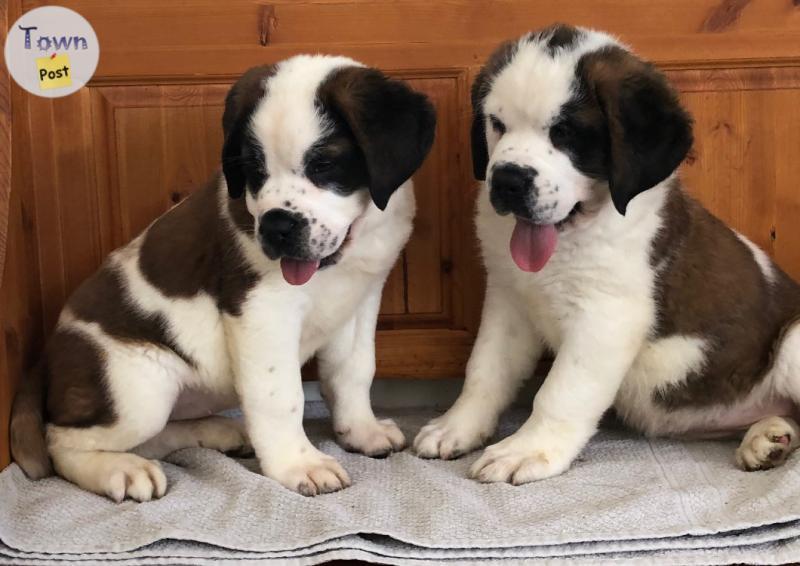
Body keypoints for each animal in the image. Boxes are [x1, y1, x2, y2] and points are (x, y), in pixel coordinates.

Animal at [10, 55, 438, 504]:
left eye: (323, 165)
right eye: (253, 171)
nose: (276, 227)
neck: (347, 254)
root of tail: (44, 357)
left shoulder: (362, 297)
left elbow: (353, 370)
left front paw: (360, 431)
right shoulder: (264, 310)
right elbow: (280, 395)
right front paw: (298, 463)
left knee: (153, 438)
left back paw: (218, 432)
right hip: (138, 388)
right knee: (62, 441)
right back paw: (120, 469)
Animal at [416, 23, 800, 484]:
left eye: (565, 133)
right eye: (498, 125)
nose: (507, 181)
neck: (572, 237)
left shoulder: (605, 317)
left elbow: (560, 392)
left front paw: (526, 449)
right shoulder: (508, 302)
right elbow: (485, 370)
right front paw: (457, 426)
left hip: (794, 341)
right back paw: (768, 439)